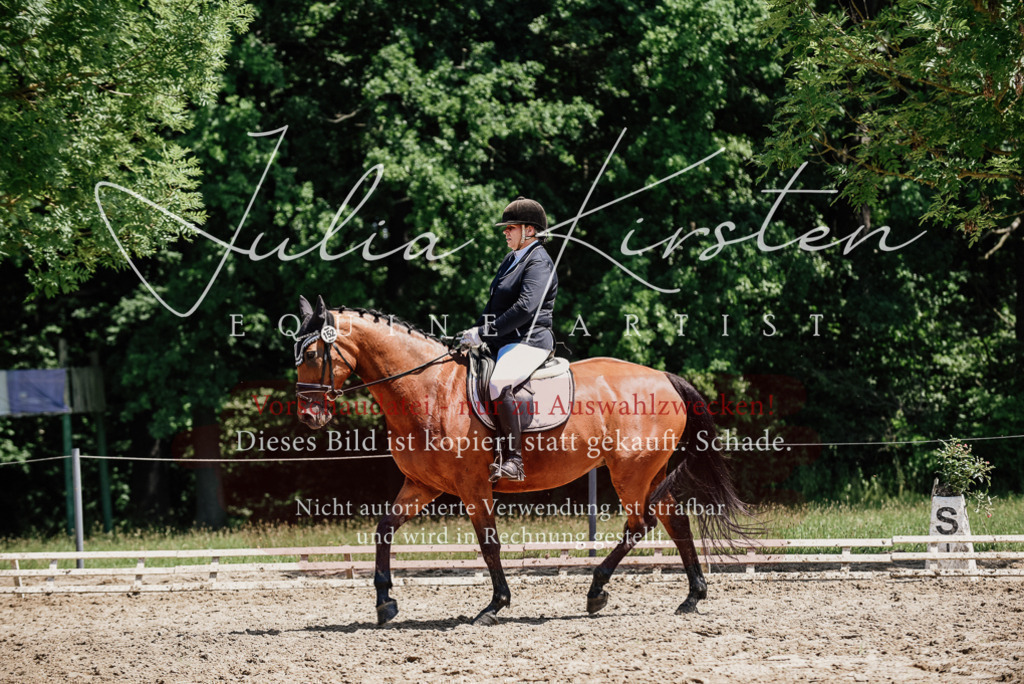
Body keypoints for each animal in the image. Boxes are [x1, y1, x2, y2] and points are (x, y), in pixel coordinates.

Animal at [293, 295, 750, 626]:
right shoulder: (423, 485)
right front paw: (385, 603)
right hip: (647, 472)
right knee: (675, 521)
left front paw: (494, 606)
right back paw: (691, 597)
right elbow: (384, 529)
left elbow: (489, 543)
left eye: (312, 354)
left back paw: (597, 592)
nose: (308, 416)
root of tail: (664, 377)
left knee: (642, 524)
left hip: (630, 472)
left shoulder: (473, 487)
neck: (429, 388)